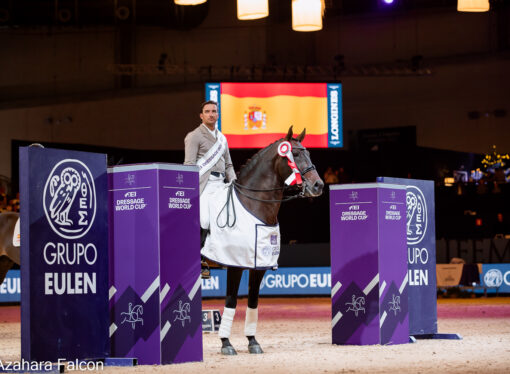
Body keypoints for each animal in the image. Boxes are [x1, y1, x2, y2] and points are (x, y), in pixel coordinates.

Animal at [200, 126, 322, 356]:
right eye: (295, 154)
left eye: (309, 153)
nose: (318, 185)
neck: (252, 205)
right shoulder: (234, 264)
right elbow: (231, 300)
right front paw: (226, 344)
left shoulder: (259, 265)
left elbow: (253, 301)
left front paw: (252, 341)